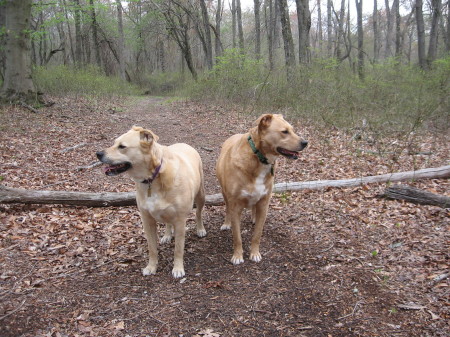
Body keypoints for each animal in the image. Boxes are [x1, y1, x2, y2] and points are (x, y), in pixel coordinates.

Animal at [97, 126, 207, 278]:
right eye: (114, 143)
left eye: (122, 146)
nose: (98, 154)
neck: (153, 177)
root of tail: (184, 144)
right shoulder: (147, 220)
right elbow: (152, 248)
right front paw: (151, 267)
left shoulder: (180, 221)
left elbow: (178, 248)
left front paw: (178, 268)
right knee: (168, 222)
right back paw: (167, 235)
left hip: (200, 195)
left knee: (198, 213)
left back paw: (200, 229)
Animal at [216, 114, 308, 264]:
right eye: (284, 132)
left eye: (293, 130)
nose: (306, 142)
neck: (259, 157)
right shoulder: (235, 206)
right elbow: (237, 236)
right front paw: (237, 256)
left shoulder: (264, 204)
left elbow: (257, 234)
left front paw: (254, 253)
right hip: (225, 194)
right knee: (227, 209)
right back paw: (227, 223)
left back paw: (254, 217)